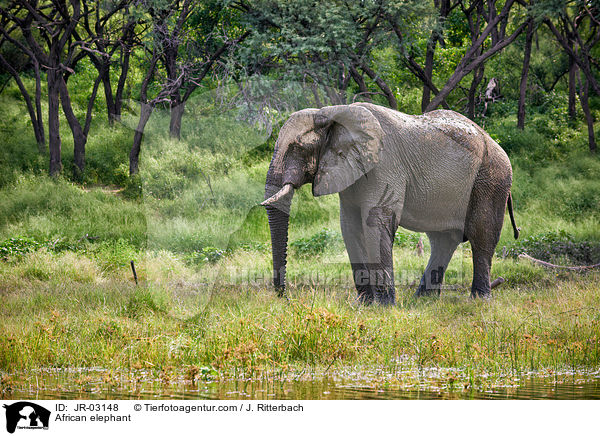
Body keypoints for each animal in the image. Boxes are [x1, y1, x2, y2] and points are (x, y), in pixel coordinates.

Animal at [262, 102, 520, 304]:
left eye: (299, 147)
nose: (285, 297)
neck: (331, 112)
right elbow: (350, 228)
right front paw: (364, 305)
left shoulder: (384, 166)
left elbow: (377, 222)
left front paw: (384, 307)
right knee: (443, 240)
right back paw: (423, 301)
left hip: (491, 179)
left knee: (481, 236)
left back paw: (479, 300)